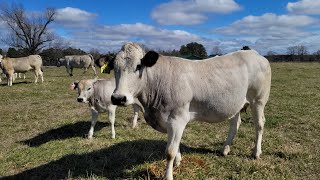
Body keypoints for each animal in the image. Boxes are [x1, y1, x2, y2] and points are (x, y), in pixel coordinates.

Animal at [110, 42, 270, 180]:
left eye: (138, 66)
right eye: (114, 67)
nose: (118, 98)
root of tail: (255, 54)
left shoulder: (177, 118)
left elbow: (170, 151)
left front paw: (168, 176)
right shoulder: (169, 121)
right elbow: (175, 145)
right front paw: (178, 162)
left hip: (258, 100)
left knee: (260, 124)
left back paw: (256, 152)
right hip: (236, 104)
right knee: (235, 124)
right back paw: (225, 149)